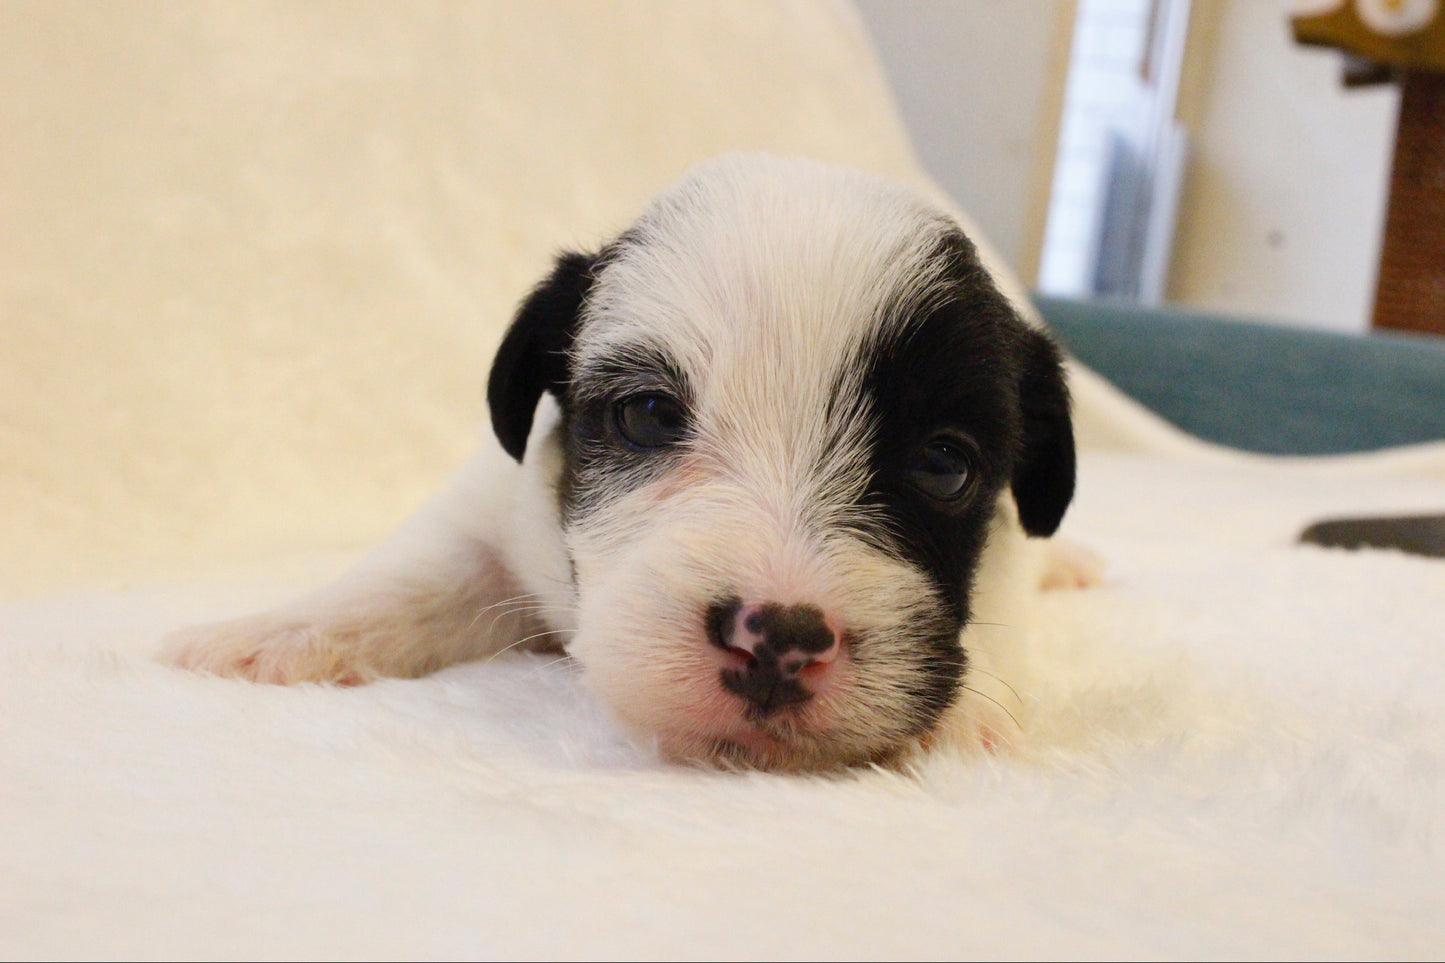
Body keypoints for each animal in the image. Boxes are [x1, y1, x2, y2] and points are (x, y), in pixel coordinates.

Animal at [164, 153, 1080, 769]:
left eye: (943, 466)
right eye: (647, 416)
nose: (778, 637)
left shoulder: (1001, 550)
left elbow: (1000, 599)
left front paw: (962, 724)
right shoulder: (495, 510)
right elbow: (410, 577)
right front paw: (271, 633)